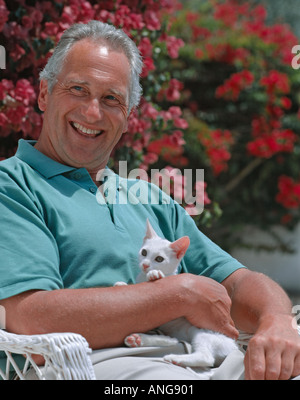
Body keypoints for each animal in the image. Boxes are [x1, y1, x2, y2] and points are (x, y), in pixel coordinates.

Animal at [123, 220, 237, 376]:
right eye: (144, 252)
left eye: (159, 259)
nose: (145, 265)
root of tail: (235, 348)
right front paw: (121, 284)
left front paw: (154, 274)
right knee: (171, 340)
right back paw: (139, 340)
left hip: (205, 333)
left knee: (206, 358)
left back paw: (175, 358)